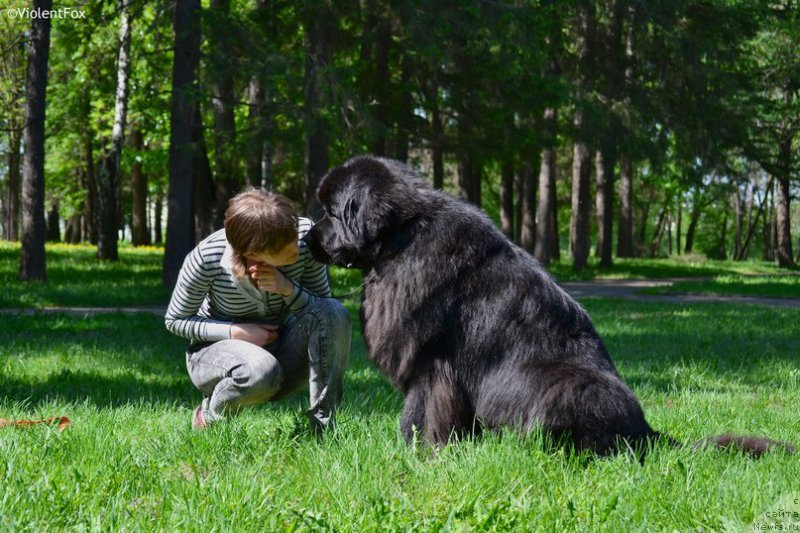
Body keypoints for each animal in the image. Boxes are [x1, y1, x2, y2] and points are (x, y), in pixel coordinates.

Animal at [304, 154, 792, 458]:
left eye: (331, 211)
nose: (307, 237)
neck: (402, 237)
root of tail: (647, 433)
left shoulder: (432, 365)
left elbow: (418, 415)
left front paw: (417, 453)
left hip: (562, 385)